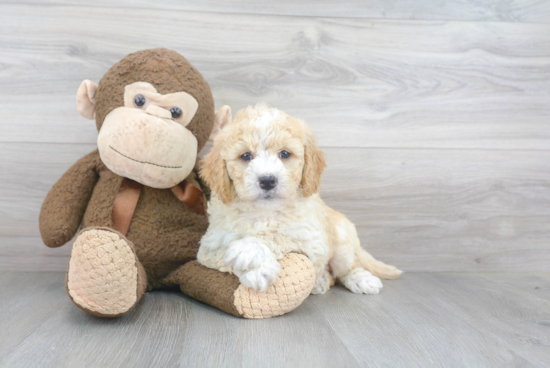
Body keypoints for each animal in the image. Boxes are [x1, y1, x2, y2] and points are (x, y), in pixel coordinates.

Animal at [198, 105, 402, 294]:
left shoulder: (311, 242)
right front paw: (257, 266)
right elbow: (228, 243)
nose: (267, 180)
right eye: (246, 156)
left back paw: (361, 279)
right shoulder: (209, 245)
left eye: (285, 154)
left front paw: (249, 252)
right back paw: (320, 282)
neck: (265, 213)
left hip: (342, 238)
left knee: (348, 266)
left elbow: (278, 237)